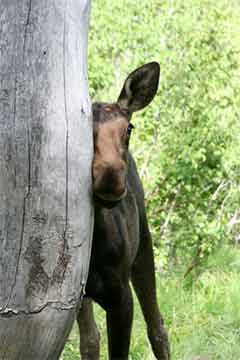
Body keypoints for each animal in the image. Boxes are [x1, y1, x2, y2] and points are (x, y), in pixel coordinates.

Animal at [78, 62, 170, 360]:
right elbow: (91, 341)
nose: (110, 177)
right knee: (90, 339)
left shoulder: (121, 297)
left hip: (144, 246)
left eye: (128, 128)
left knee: (158, 327)